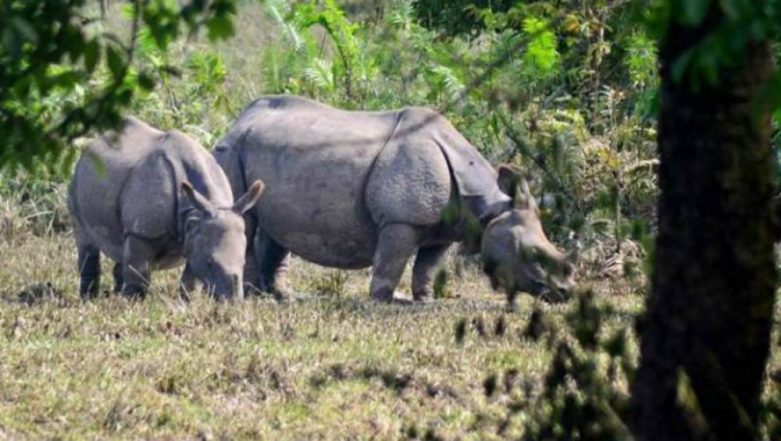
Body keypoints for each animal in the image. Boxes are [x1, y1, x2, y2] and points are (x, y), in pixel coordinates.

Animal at [68, 117, 265, 300]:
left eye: (243, 262)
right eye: (210, 262)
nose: (232, 301)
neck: (200, 210)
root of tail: (93, 144)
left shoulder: (195, 232)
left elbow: (190, 281)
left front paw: (188, 304)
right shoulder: (142, 232)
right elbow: (138, 275)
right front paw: (131, 304)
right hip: (77, 178)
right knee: (86, 242)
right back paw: (89, 300)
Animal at [214, 96, 575, 303]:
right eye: (533, 253)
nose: (565, 293)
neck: (488, 208)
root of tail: (238, 121)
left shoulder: (446, 227)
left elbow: (428, 265)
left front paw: (425, 300)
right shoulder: (401, 220)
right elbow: (392, 260)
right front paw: (384, 300)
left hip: (268, 149)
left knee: (276, 227)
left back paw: (280, 295)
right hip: (232, 149)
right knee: (246, 219)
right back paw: (252, 294)